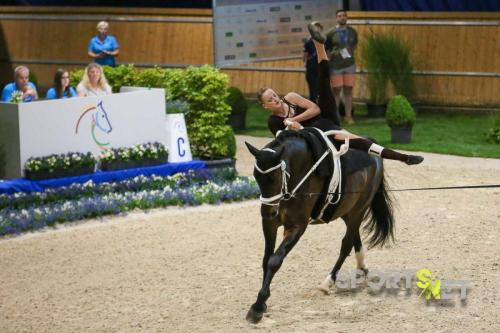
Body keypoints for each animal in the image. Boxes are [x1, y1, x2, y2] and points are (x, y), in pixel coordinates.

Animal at [245, 130, 394, 322]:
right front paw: (262, 302)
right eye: (256, 176)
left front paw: (257, 306)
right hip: (346, 211)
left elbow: (274, 261)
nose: (268, 212)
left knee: (346, 244)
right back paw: (361, 267)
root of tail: (375, 155)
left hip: (359, 210)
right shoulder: (269, 224)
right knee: (354, 236)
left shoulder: (297, 226)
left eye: (273, 177)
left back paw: (328, 282)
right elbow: (265, 260)